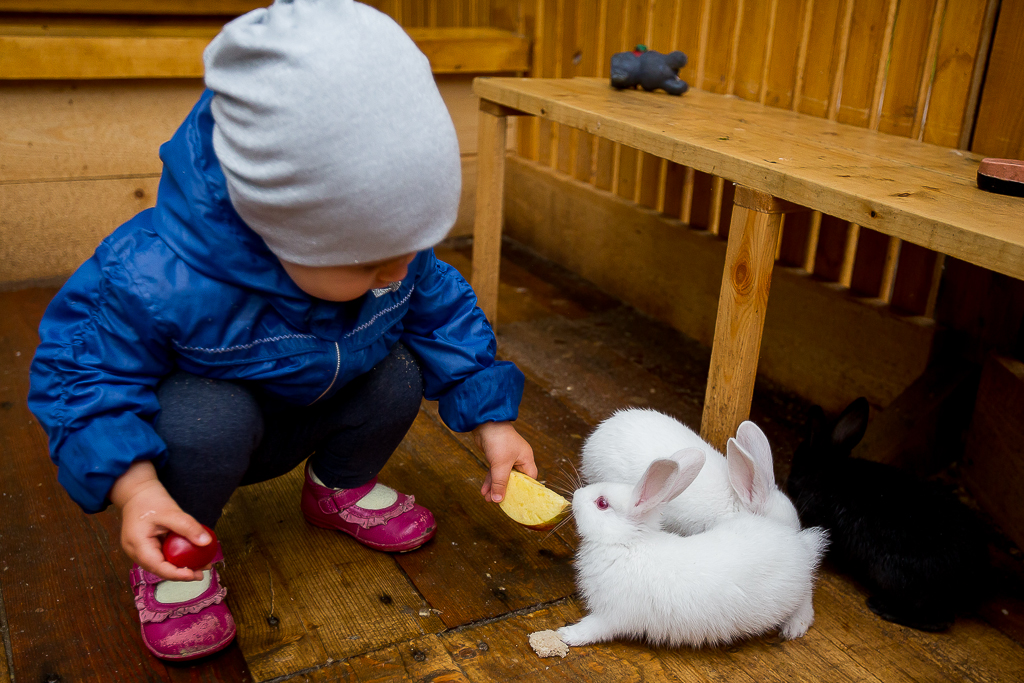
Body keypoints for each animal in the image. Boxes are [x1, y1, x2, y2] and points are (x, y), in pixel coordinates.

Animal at [561, 450, 831, 651]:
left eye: (602, 503)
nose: (576, 494)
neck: (628, 544)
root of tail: (799, 545)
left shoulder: (613, 614)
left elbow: (594, 628)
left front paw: (566, 635)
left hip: (792, 593)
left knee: (806, 596)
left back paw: (795, 626)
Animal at [786, 397, 987, 634]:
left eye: (797, 460)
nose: (790, 478)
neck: (826, 471)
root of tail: (973, 580)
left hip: (896, 578)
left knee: (940, 620)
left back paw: (882, 607)